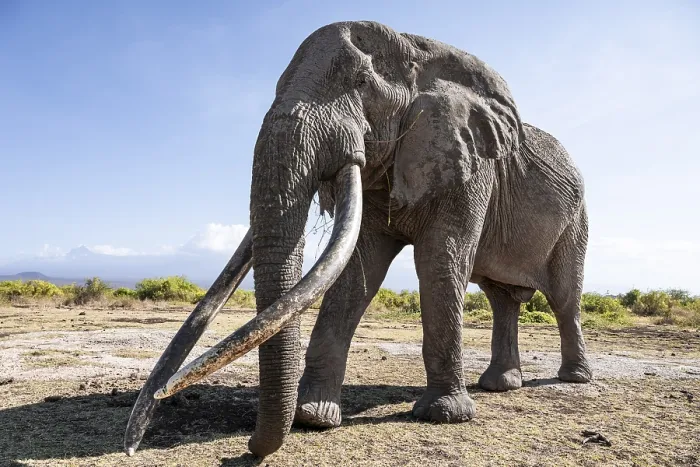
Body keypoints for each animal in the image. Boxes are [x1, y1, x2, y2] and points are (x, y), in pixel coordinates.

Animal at [124, 20, 592, 458]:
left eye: (363, 84)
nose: (249, 449)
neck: (420, 47)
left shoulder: (469, 163)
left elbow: (440, 262)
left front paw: (444, 415)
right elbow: (355, 273)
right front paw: (313, 416)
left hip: (577, 220)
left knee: (564, 297)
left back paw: (573, 379)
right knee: (501, 299)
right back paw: (499, 385)